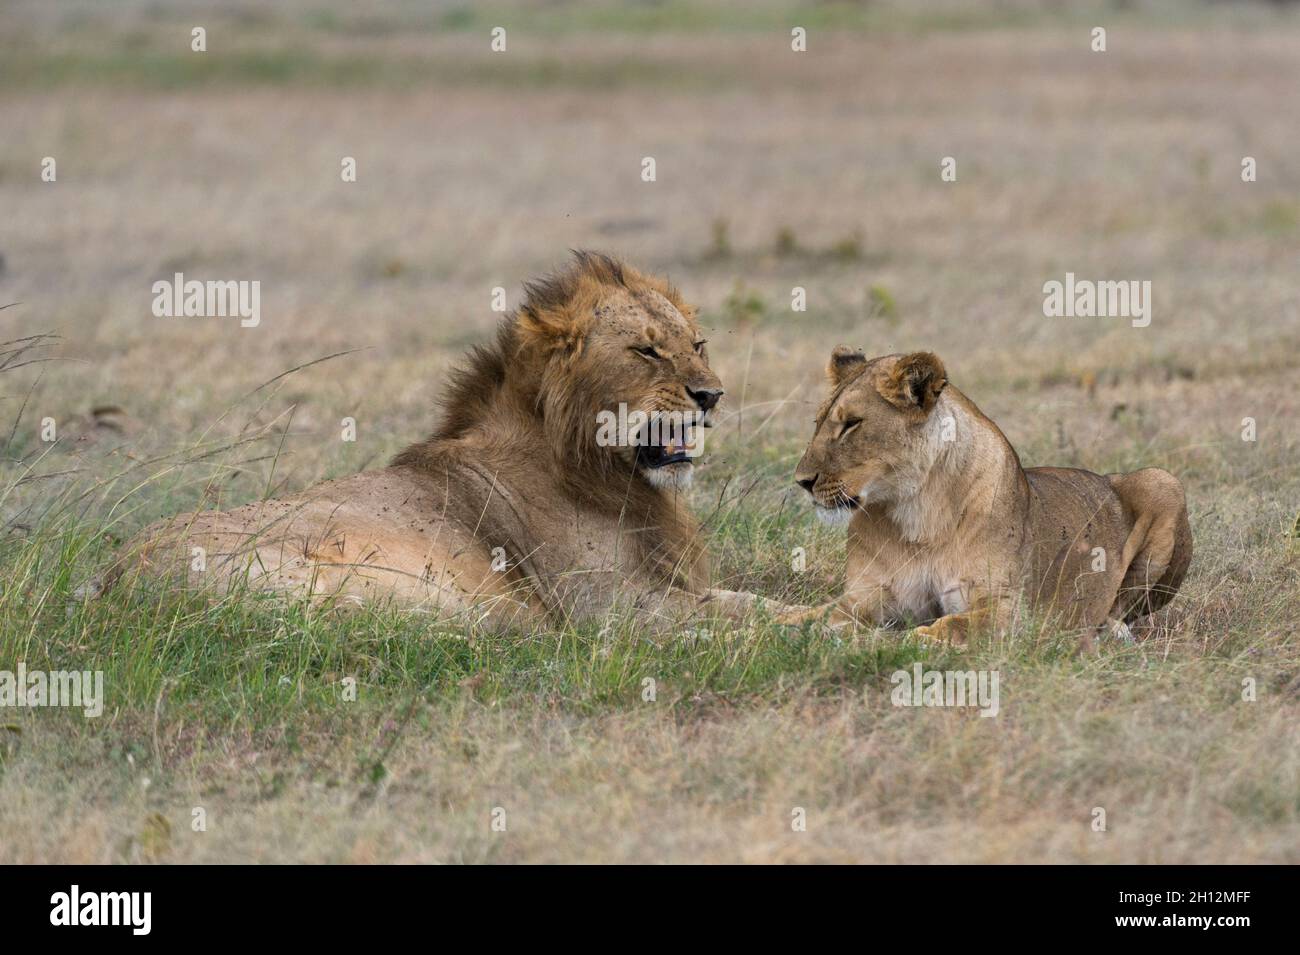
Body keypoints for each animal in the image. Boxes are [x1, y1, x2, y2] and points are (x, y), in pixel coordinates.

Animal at [104, 252, 800, 630]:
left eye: (698, 344)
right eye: (647, 351)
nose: (712, 395)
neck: (600, 469)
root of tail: (113, 582)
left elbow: (751, 602)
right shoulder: (612, 611)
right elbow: (754, 618)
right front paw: (824, 630)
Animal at [782, 347, 1192, 643]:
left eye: (851, 424)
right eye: (818, 423)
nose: (802, 481)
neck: (916, 514)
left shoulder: (1011, 610)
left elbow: (952, 625)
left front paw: (915, 639)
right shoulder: (866, 599)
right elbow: (811, 615)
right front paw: (781, 625)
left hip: (1163, 482)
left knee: (1124, 608)